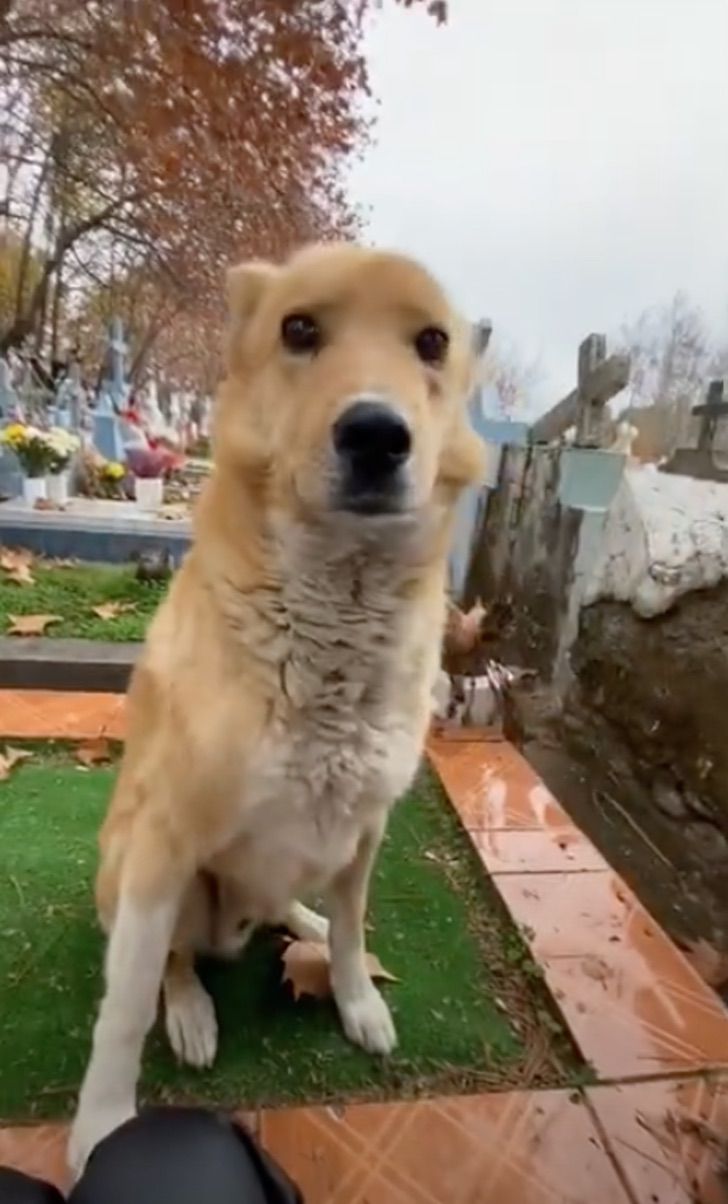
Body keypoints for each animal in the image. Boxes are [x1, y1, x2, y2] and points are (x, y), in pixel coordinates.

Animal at [69, 242, 484, 1173]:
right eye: (300, 329)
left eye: (431, 343)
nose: (376, 434)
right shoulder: (165, 844)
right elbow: (123, 1008)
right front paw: (102, 1126)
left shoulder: (366, 825)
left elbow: (354, 929)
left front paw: (358, 999)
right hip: (151, 873)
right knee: (173, 960)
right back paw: (190, 1008)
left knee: (298, 907)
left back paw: (300, 918)